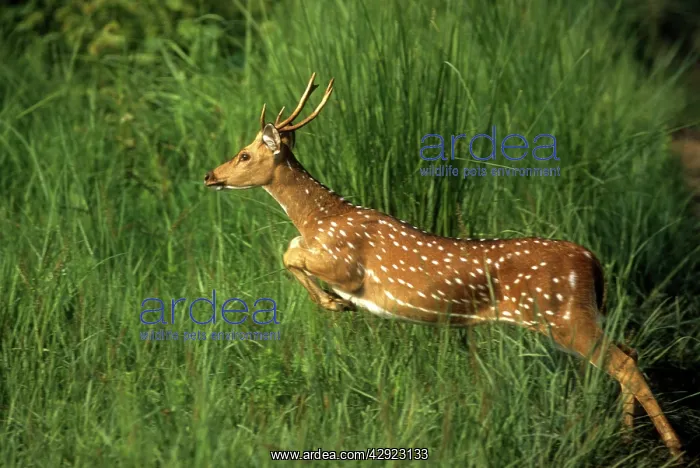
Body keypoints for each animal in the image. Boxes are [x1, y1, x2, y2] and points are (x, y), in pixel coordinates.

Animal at [204, 73, 683, 458]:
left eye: (244, 154)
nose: (210, 175)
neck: (321, 217)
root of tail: (593, 263)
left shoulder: (346, 262)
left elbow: (290, 253)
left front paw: (335, 304)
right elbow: (289, 248)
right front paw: (334, 305)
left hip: (564, 316)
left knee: (625, 364)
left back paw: (674, 448)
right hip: (580, 315)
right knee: (630, 352)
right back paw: (627, 438)